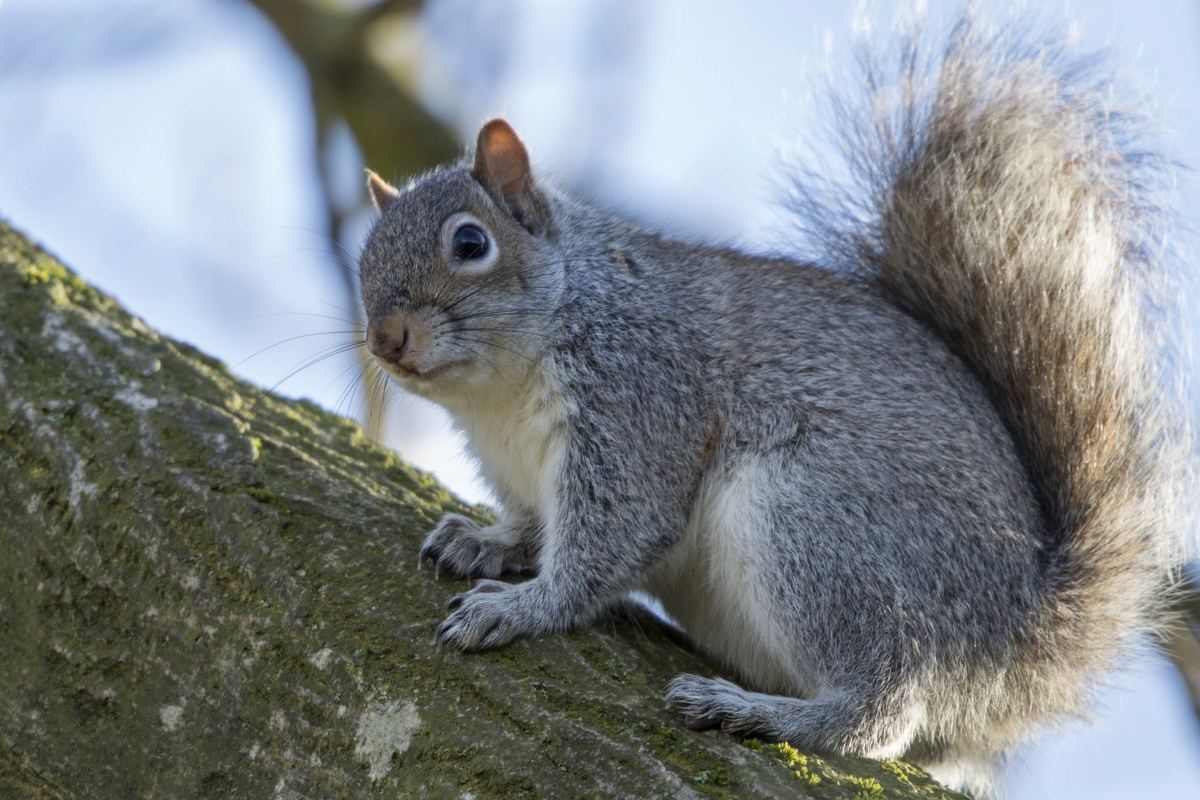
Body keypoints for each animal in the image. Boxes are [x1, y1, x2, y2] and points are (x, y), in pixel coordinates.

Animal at [352, 10, 1190, 796]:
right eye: (363, 260)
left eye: (470, 244)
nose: (386, 338)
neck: (498, 392)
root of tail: (1018, 633)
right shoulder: (518, 467)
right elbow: (532, 524)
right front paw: (485, 541)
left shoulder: (643, 401)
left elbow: (609, 541)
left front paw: (523, 607)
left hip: (813, 522)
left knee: (880, 710)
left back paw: (758, 712)